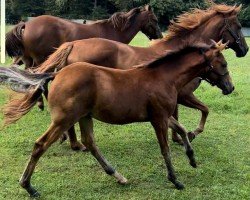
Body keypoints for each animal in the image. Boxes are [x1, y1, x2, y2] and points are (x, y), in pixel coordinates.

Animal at [0, 41, 229, 197]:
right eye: (224, 64)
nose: (230, 87)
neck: (164, 78)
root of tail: (55, 75)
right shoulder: (158, 119)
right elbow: (165, 149)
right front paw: (175, 180)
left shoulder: (162, 115)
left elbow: (181, 129)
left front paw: (192, 158)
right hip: (63, 119)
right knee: (41, 145)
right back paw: (28, 186)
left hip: (84, 116)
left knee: (90, 143)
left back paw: (118, 176)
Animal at [5, 4, 162, 67]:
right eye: (155, 20)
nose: (160, 36)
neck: (114, 30)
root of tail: (26, 24)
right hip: (38, 59)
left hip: (27, 59)